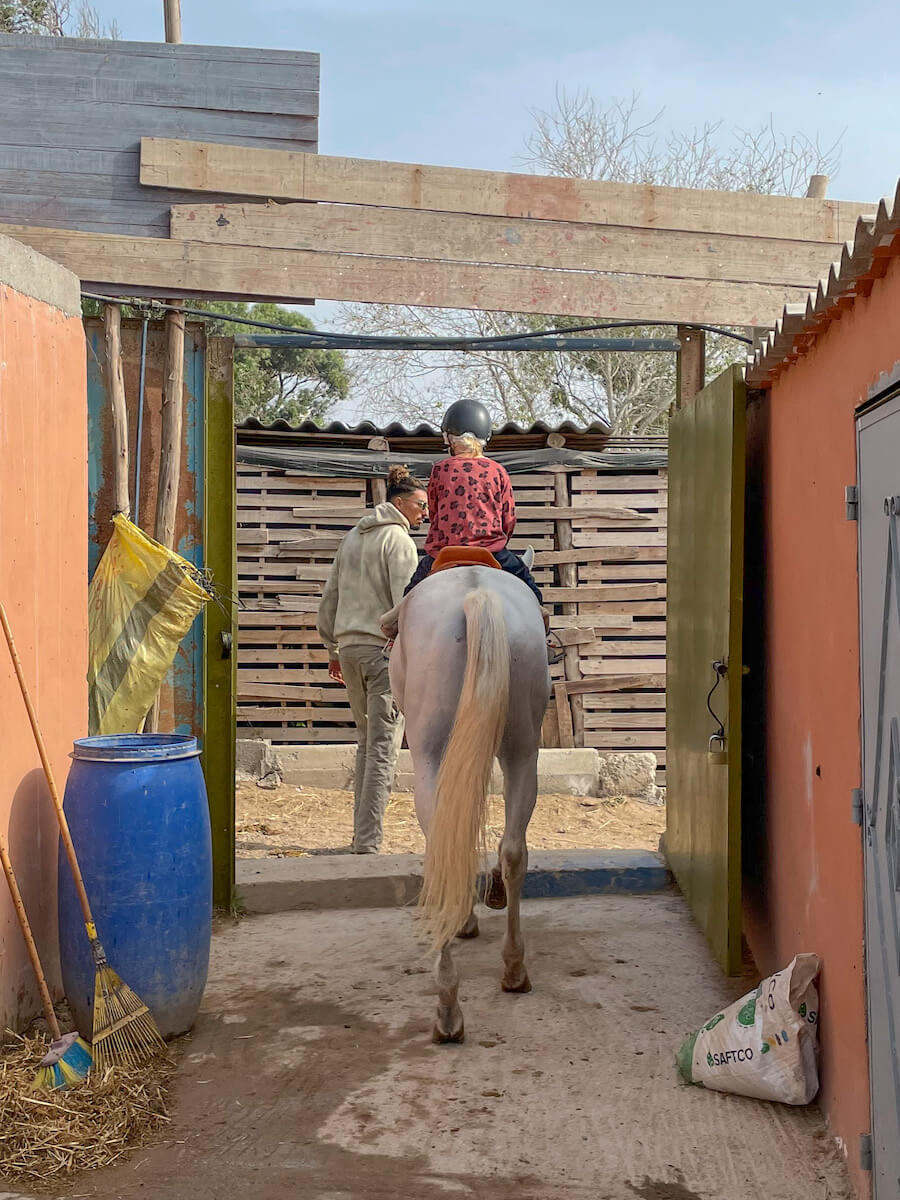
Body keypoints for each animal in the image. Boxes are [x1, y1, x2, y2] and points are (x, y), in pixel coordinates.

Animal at [388, 563, 550, 1043]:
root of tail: (474, 595)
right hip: (523, 749)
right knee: (513, 850)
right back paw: (512, 970)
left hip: (429, 752)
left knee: (442, 847)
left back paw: (449, 1006)